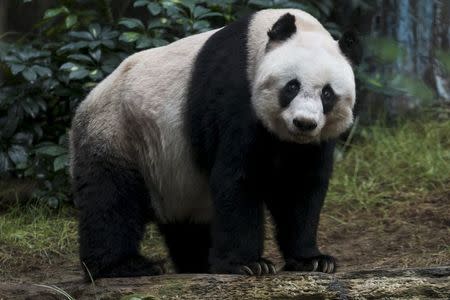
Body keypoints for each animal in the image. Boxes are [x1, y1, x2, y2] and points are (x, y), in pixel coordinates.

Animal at [70, 8, 362, 280]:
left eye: (327, 94)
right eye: (292, 86)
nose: (304, 123)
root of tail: (86, 101)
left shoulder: (311, 143)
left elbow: (298, 187)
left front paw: (313, 260)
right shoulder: (234, 93)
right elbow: (238, 178)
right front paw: (249, 264)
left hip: (174, 176)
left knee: (187, 227)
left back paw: (197, 264)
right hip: (119, 132)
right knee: (111, 200)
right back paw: (124, 266)